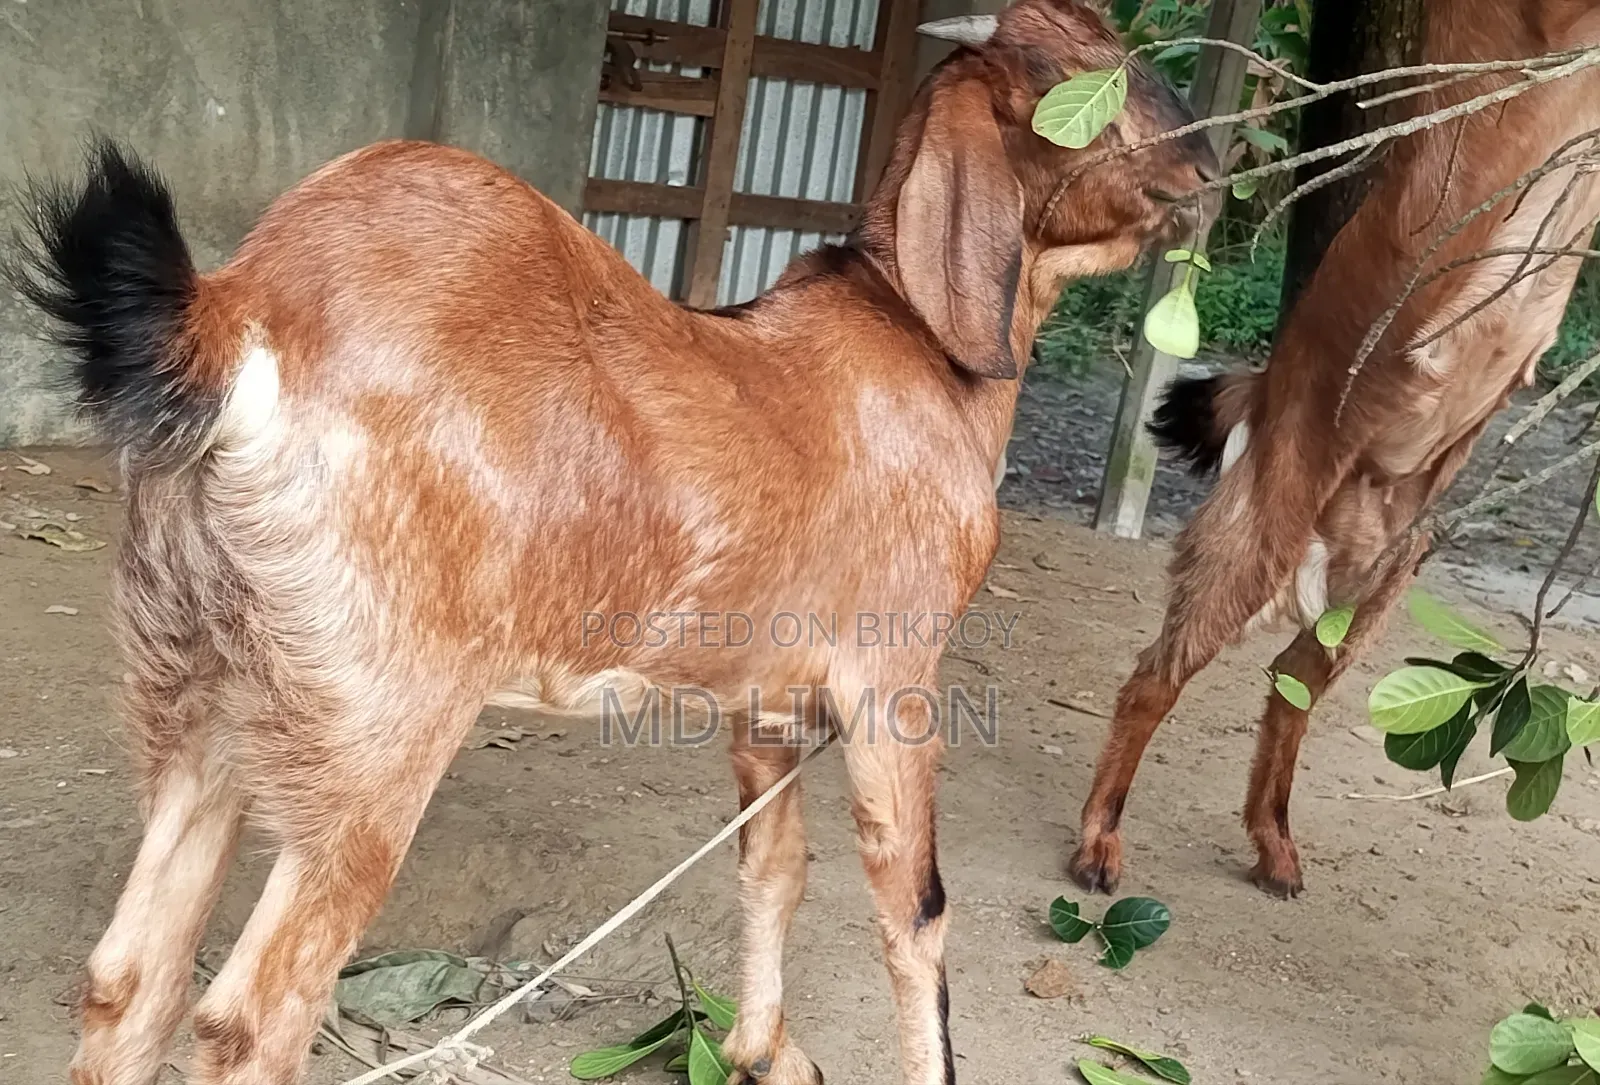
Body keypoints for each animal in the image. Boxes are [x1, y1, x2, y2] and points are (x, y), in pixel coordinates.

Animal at [9, 2, 1215, 1082]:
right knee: (253, 1016)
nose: (1210, 167)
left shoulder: (764, 698)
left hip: (202, 683)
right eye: (1088, 74)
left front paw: (760, 1051)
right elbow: (914, 906)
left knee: (129, 976)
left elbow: (775, 866)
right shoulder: (892, 675)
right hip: (371, 723)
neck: (916, 344)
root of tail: (236, 313)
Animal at [1070, 0, 1600, 900]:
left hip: (1376, 588)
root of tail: (1267, 390)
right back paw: (1099, 836)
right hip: (1250, 552)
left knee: (1289, 696)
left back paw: (1273, 840)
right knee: (1152, 679)